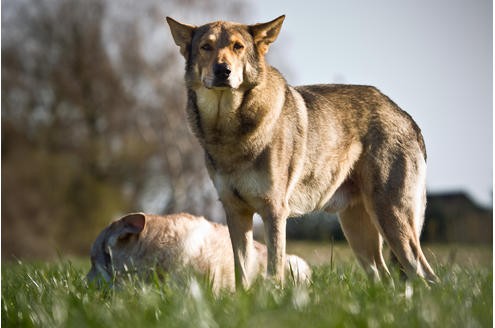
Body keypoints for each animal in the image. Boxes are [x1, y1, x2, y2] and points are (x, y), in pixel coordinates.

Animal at [167, 15, 438, 288]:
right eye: (206, 47)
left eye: (237, 47)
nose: (223, 71)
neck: (227, 127)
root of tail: (405, 116)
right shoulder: (235, 211)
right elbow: (241, 274)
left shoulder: (274, 210)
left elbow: (275, 270)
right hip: (359, 234)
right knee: (388, 279)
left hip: (392, 221)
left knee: (427, 277)